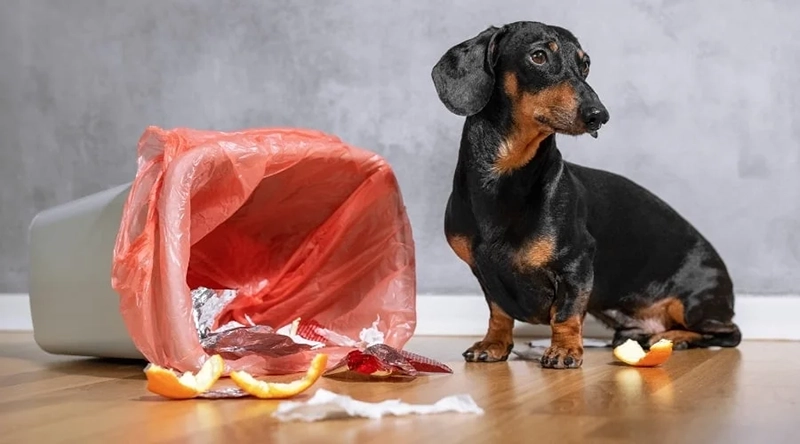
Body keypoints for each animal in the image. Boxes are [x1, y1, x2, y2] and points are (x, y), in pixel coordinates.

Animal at [432, 20, 744, 368]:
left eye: (585, 63)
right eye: (538, 56)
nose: (599, 116)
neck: (505, 177)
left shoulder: (576, 262)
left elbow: (566, 314)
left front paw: (565, 350)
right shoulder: (486, 275)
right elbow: (499, 313)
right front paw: (494, 345)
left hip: (692, 305)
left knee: (729, 334)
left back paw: (676, 338)